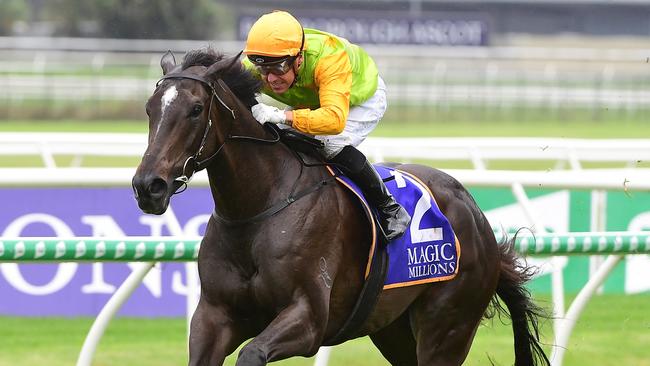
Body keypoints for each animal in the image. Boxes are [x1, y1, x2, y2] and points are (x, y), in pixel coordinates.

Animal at [132, 49, 548, 366]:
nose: (148, 186)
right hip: (393, 328)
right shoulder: (215, 316)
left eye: (195, 109)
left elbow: (252, 353)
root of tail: (478, 218)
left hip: (448, 326)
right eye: (150, 109)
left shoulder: (309, 319)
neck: (256, 210)